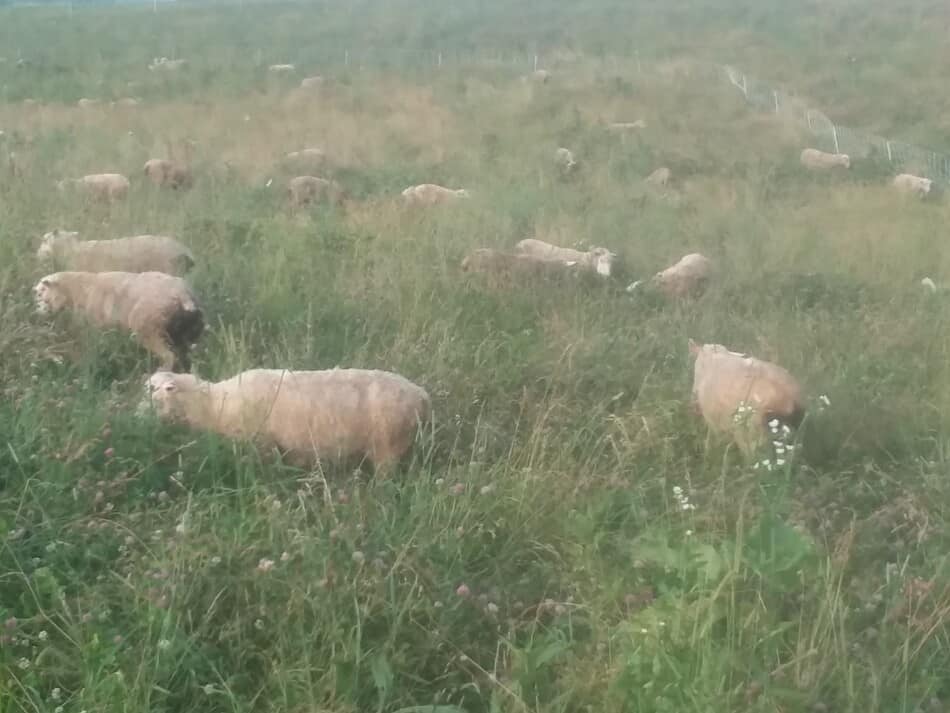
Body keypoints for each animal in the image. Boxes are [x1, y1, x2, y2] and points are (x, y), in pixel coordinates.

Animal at [35, 270, 205, 372]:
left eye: (40, 293)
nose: (37, 313)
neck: (78, 290)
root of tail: (183, 295)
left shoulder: (94, 330)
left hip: (147, 326)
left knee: (169, 356)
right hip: (187, 333)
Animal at [141, 368, 432, 472]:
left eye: (157, 391)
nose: (138, 417)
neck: (214, 404)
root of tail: (422, 395)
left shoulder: (262, 444)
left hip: (387, 447)